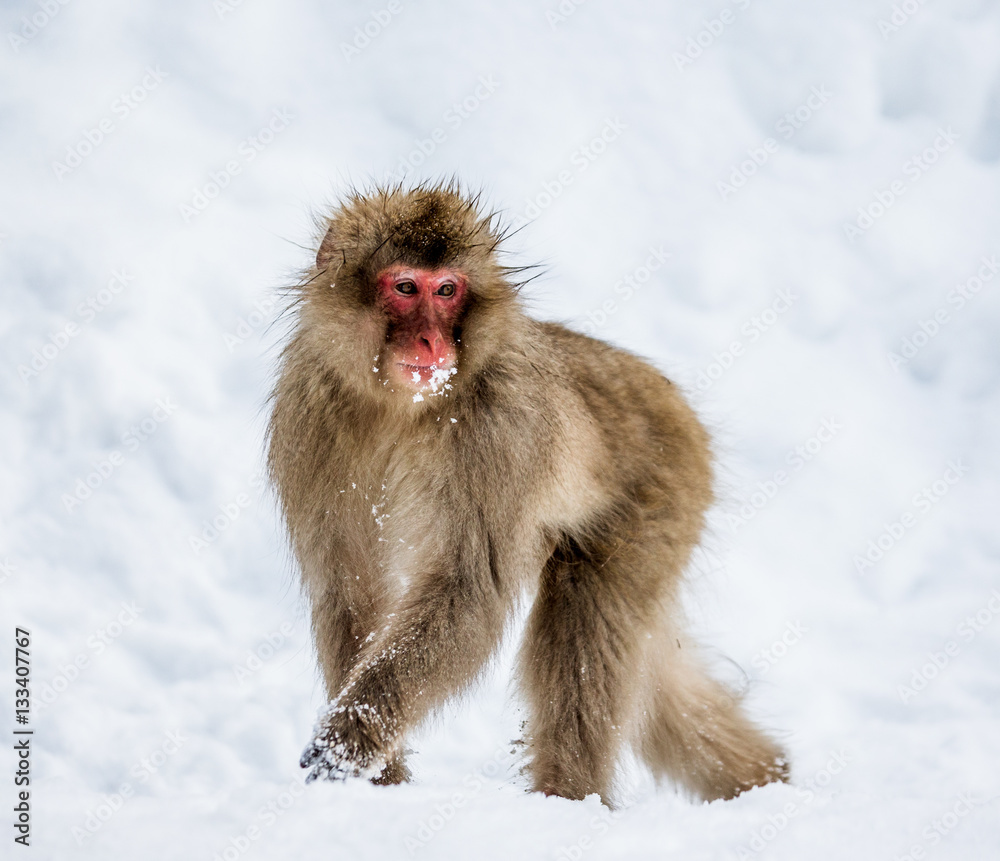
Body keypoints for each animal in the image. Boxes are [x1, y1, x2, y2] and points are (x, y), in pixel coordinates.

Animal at [267, 182, 788, 803]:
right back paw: (767, 777)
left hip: (660, 498)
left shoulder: (500, 431)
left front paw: (350, 739)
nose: (431, 341)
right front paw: (381, 781)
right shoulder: (310, 416)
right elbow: (349, 589)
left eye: (447, 290)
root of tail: (664, 391)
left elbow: (468, 592)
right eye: (405, 287)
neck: (401, 408)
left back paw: (570, 798)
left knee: (585, 637)